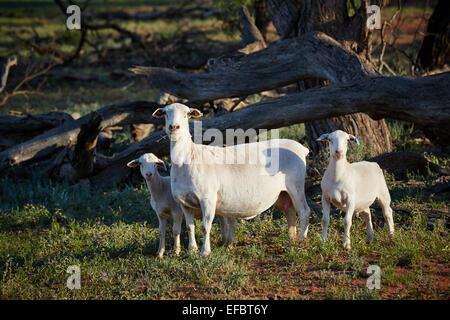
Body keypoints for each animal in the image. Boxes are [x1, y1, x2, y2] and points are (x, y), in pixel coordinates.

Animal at [153, 104, 312, 256]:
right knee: (290, 212)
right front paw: (192, 251)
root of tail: (301, 148)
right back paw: (290, 240)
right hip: (284, 192)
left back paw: (301, 240)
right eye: (165, 113)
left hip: (296, 185)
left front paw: (205, 252)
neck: (187, 158)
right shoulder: (184, 203)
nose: (174, 127)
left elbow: (205, 227)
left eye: (186, 114)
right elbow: (190, 227)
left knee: (304, 211)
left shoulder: (208, 199)